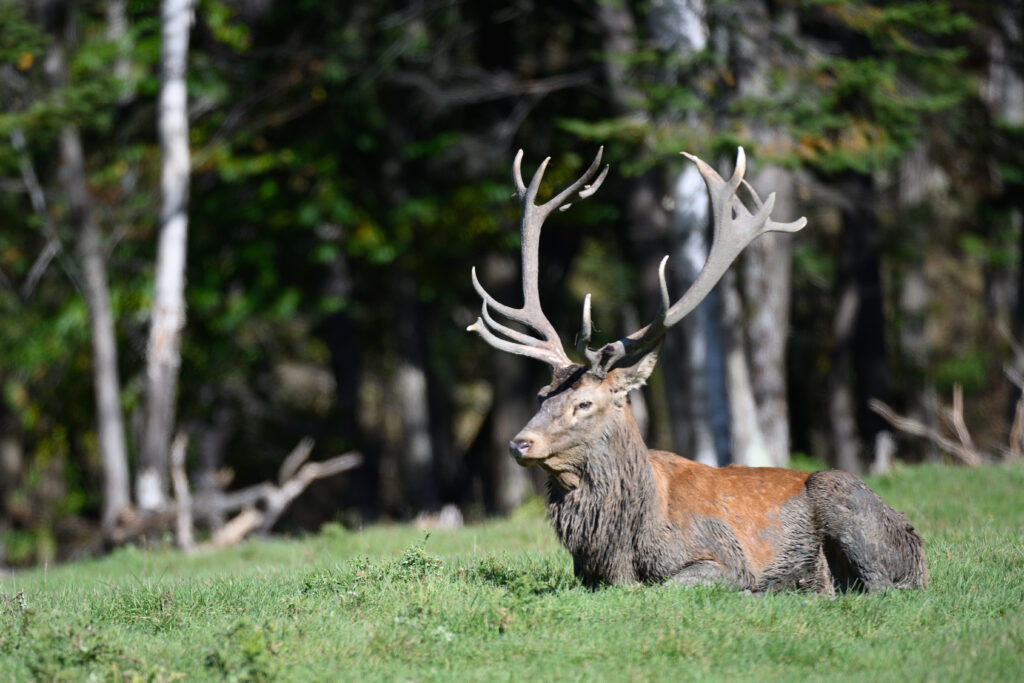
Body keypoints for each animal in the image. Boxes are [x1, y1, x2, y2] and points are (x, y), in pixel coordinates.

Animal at [466, 146, 928, 594]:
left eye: (584, 403)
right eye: (542, 396)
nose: (520, 443)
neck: (619, 550)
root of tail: (918, 547)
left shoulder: (723, 556)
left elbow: (664, 587)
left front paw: (755, 590)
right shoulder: (585, 576)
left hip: (845, 499)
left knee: (880, 586)